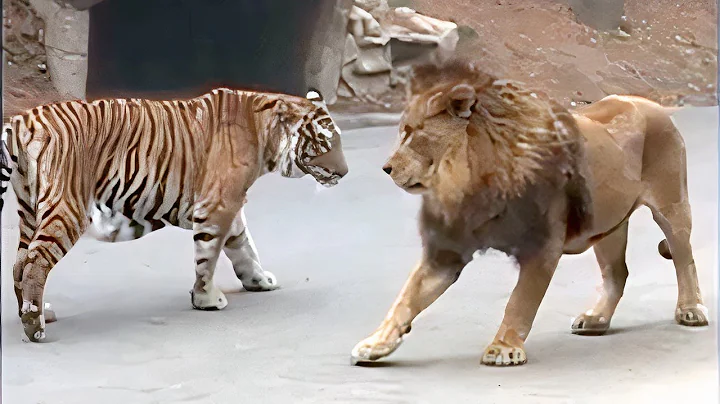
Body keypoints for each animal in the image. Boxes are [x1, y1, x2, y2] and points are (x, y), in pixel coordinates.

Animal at [0, 88, 349, 342]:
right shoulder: (217, 204)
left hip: (29, 210)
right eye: (326, 141)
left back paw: (36, 313)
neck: (265, 136)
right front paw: (206, 299)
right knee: (35, 262)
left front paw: (259, 280)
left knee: (19, 262)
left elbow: (244, 247)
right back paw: (35, 327)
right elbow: (208, 256)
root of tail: (23, 120)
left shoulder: (230, 205)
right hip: (67, 208)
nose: (345, 172)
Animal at [350, 60, 708, 366]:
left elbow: (520, 300)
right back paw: (596, 319)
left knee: (684, 258)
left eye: (412, 132)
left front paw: (503, 349)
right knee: (617, 273)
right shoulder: (445, 251)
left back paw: (691, 309)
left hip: (672, 205)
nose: (386, 168)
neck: (469, 183)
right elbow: (406, 298)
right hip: (607, 225)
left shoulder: (542, 246)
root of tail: (649, 103)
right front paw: (375, 344)